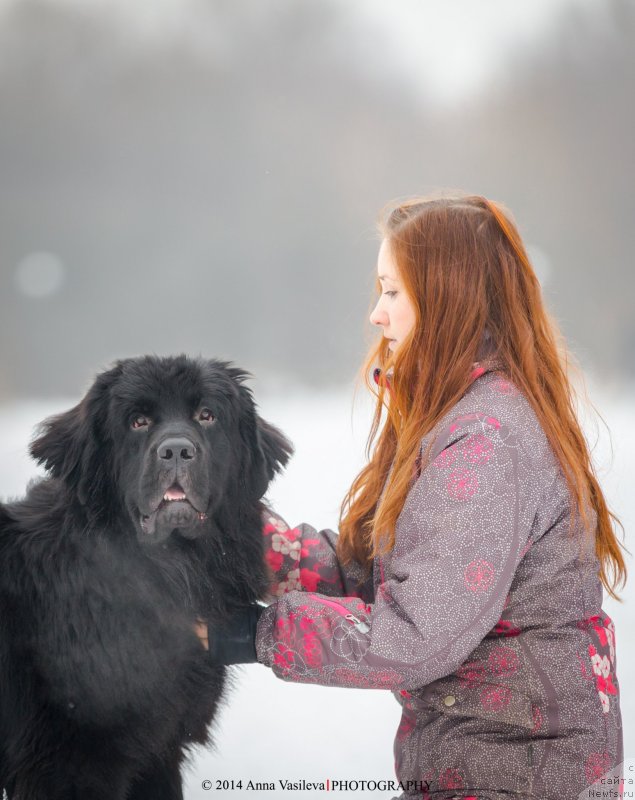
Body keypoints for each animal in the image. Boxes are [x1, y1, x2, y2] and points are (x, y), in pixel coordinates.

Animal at [0, 358, 294, 800]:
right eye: (137, 422)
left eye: (206, 416)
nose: (176, 451)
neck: (173, 568)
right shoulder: (71, 765)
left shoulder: (159, 750)